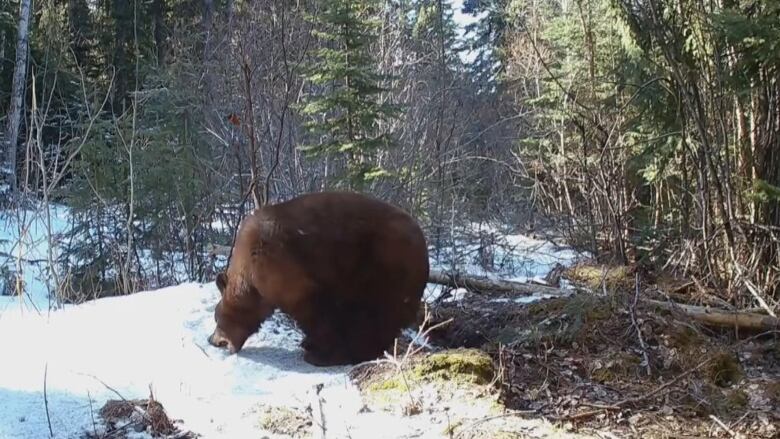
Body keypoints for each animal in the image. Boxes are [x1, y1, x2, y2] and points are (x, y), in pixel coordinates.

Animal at [204, 191, 430, 366]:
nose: (211, 339)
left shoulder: (282, 266)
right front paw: (311, 343)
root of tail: (423, 241)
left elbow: (314, 310)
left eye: (216, 316)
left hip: (384, 265)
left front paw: (320, 350)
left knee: (374, 312)